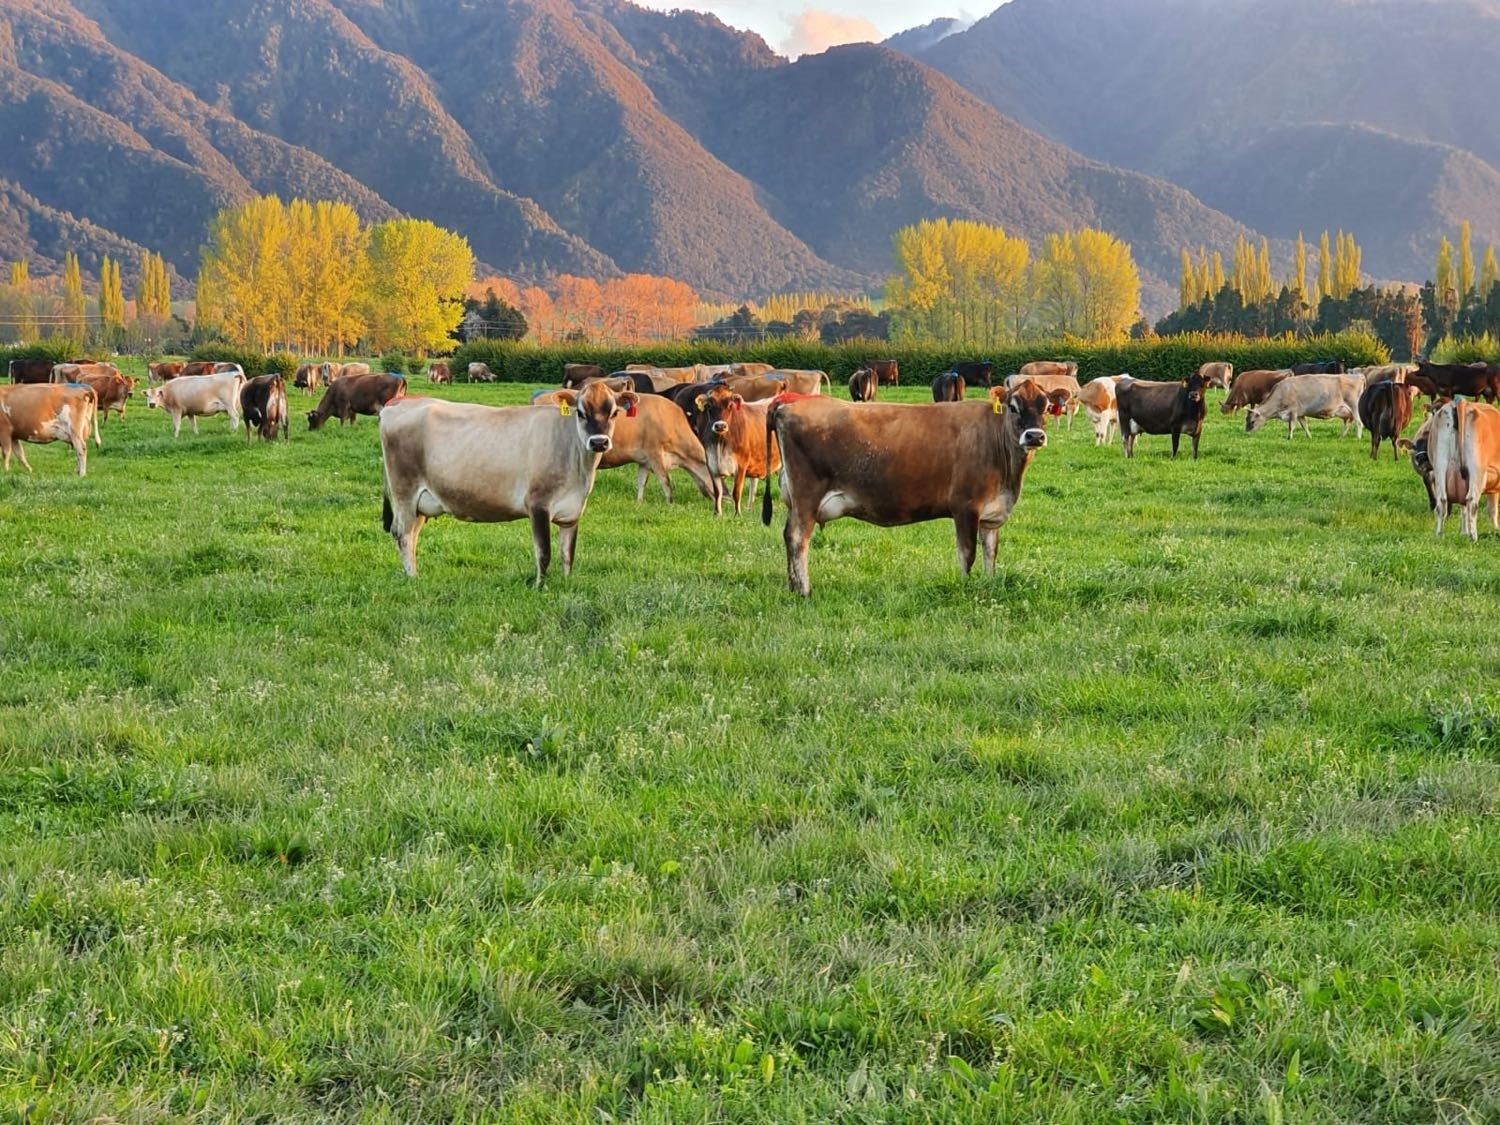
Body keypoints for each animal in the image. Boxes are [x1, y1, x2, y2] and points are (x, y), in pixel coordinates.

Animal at [378, 384, 636, 585]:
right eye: (581, 413)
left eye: (614, 413)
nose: (599, 442)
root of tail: (399, 402)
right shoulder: (538, 504)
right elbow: (544, 552)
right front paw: (539, 587)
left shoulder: (572, 512)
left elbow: (567, 553)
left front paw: (566, 583)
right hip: (404, 491)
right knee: (403, 534)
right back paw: (412, 578)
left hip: (421, 503)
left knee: (412, 535)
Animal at [693, 384, 780, 516]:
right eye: (709, 406)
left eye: (730, 405)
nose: (720, 426)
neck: (720, 444)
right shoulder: (712, 465)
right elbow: (717, 492)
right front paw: (717, 514)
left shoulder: (741, 466)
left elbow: (736, 492)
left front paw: (737, 515)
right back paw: (750, 509)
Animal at [768, 381, 1050, 594]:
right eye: (1013, 407)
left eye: (1046, 407)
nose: (1034, 436)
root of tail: (789, 402)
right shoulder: (965, 507)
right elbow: (967, 553)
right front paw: (965, 588)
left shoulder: (991, 514)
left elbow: (990, 553)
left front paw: (989, 585)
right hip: (807, 496)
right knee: (798, 538)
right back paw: (804, 591)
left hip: (795, 500)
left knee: (787, 535)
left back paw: (792, 587)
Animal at [1242, 372, 1374, 438]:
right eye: (1246, 420)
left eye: (1252, 421)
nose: (1246, 433)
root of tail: (1358, 375)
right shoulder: (1301, 413)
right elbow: (1304, 425)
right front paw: (1309, 437)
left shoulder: (1293, 411)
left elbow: (1291, 426)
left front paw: (1289, 438)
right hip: (1345, 412)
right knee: (1348, 422)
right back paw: (1341, 437)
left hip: (1354, 406)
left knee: (1358, 422)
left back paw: (1358, 437)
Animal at [1422, 402, 1500, 543]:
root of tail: (1461, 403)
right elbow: (1492, 509)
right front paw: (1495, 530)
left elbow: (1463, 509)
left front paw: (1464, 532)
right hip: (1477, 469)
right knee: (1472, 501)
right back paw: (1473, 537)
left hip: (1440, 464)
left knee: (1442, 502)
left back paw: (1439, 535)